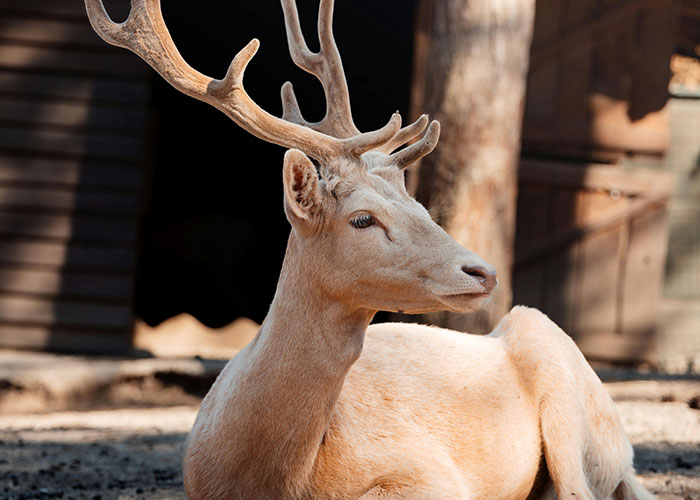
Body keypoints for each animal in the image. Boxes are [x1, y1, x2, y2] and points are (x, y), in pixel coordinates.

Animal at [84, 1, 656, 499]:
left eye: (422, 208)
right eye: (363, 219)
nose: (483, 272)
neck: (269, 476)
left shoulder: (435, 474)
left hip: (571, 391)